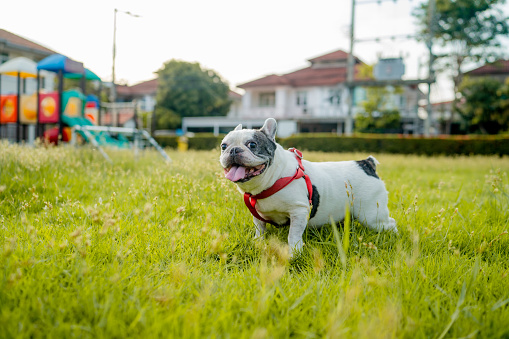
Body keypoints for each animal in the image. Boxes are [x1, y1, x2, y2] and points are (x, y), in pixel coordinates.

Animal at [218, 118, 396, 256]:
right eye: (223, 146)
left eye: (252, 144)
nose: (233, 150)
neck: (272, 178)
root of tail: (366, 164)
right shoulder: (258, 216)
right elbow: (260, 230)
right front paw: (258, 242)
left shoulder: (298, 212)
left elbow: (293, 235)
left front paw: (294, 253)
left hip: (371, 215)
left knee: (389, 223)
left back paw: (393, 236)